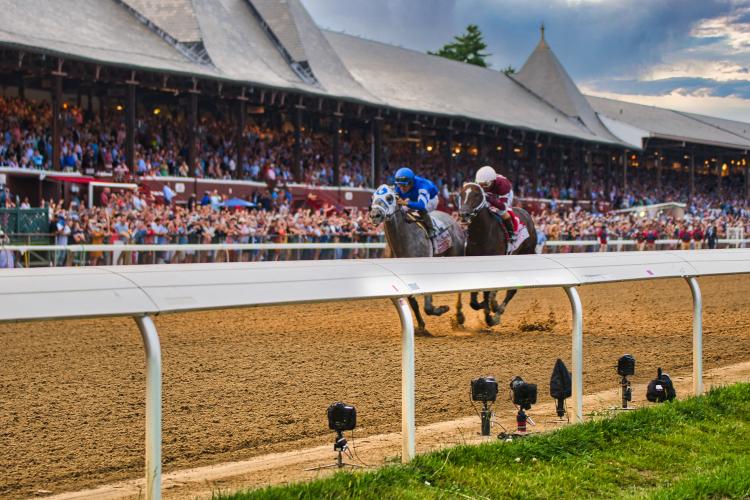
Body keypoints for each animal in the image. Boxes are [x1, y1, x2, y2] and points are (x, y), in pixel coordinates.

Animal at [372, 185, 470, 336]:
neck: (404, 240)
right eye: (373, 197)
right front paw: (421, 326)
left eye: (389, 197)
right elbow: (414, 303)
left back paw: (459, 317)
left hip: (457, 254)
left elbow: (428, 306)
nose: (374, 215)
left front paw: (441, 309)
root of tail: (453, 219)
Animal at [456, 184, 536, 328]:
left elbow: (485, 294)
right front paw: (463, 315)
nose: (464, 214)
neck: (481, 234)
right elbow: (474, 299)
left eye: (477, 194)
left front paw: (489, 315)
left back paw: (497, 312)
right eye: (461, 194)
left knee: (512, 290)